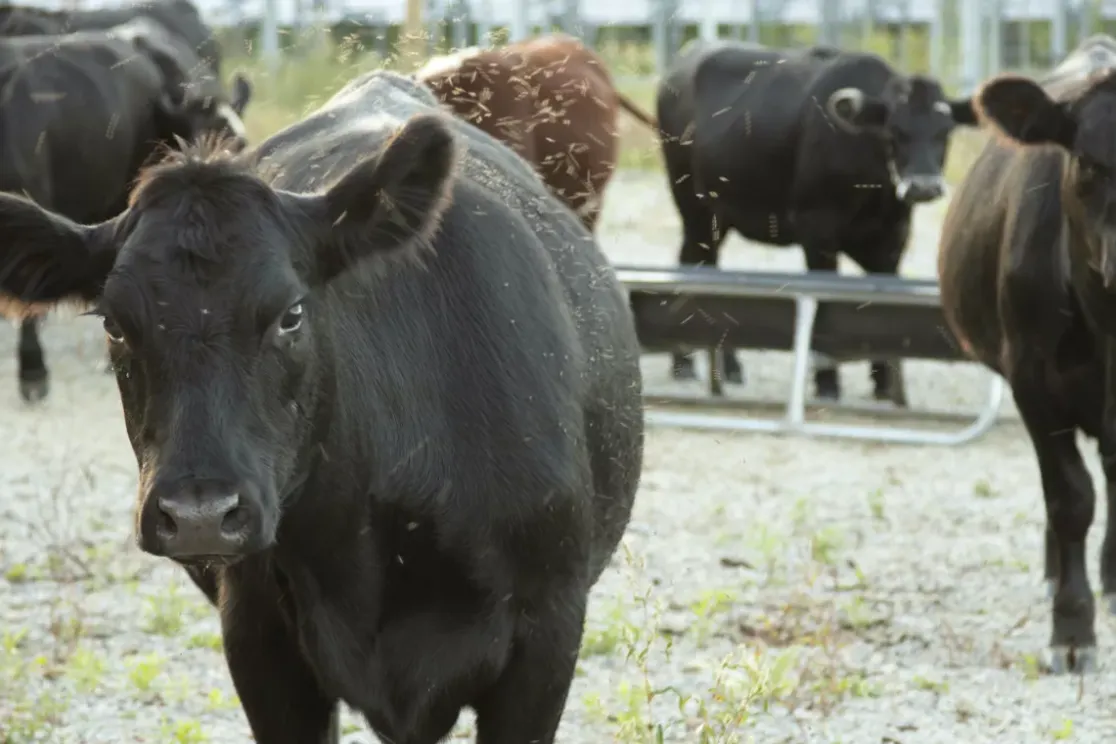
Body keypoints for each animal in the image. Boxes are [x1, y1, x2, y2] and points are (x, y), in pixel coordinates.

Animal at [655, 39, 979, 403]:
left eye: (944, 132)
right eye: (894, 131)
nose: (924, 186)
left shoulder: (891, 240)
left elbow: (882, 306)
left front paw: (886, 385)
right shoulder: (817, 233)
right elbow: (825, 304)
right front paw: (827, 382)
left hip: (713, 220)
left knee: (694, 266)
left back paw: (704, 363)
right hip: (696, 211)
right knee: (699, 270)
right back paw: (696, 364)